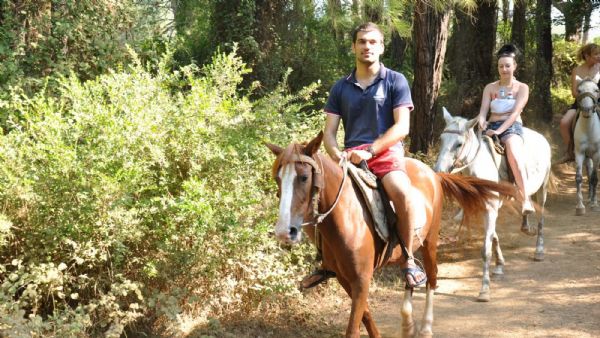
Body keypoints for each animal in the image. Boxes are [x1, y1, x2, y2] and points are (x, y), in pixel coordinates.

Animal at [268, 132, 516, 338]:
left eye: (303, 177)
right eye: (278, 178)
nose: (283, 231)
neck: (345, 217)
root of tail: (432, 173)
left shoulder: (361, 278)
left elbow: (353, 328)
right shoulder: (344, 278)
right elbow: (366, 317)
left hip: (430, 242)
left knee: (432, 279)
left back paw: (425, 327)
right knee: (409, 275)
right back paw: (407, 323)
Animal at [434, 107, 552, 302]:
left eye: (459, 144)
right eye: (441, 139)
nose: (438, 171)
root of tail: (542, 137)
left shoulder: (490, 209)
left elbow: (485, 250)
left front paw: (484, 290)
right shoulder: (485, 208)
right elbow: (494, 237)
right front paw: (499, 266)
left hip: (543, 188)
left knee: (541, 219)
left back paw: (539, 251)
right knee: (525, 205)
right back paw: (526, 226)